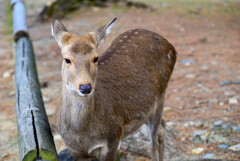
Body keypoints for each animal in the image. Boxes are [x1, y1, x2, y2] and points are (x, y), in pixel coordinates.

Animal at [51, 17, 177, 161]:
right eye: (67, 59)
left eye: (96, 58)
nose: (85, 87)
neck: (81, 134)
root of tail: (171, 46)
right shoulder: (75, 150)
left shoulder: (113, 138)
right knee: (162, 127)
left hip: (161, 95)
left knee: (154, 140)